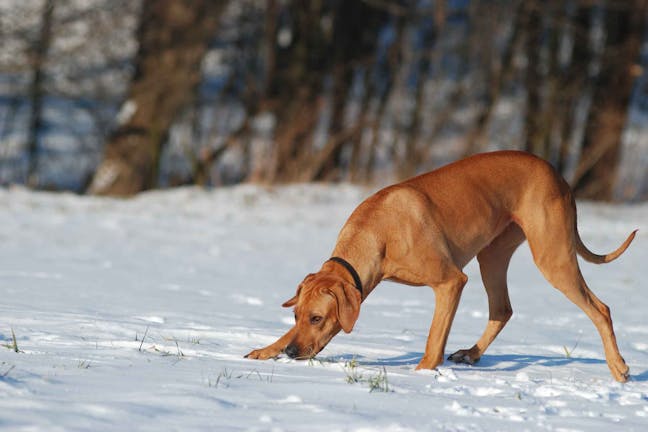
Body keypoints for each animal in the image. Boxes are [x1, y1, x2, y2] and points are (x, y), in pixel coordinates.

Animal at [246, 151, 636, 382]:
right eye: (296, 316)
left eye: (316, 318)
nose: (293, 353)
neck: (377, 233)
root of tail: (558, 174)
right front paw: (268, 349)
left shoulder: (450, 282)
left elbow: (434, 338)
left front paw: (421, 374)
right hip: (492, 254)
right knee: (502, 309)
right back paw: (472, 353)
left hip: (552, 256)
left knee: (600, 308)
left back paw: (618, 367)